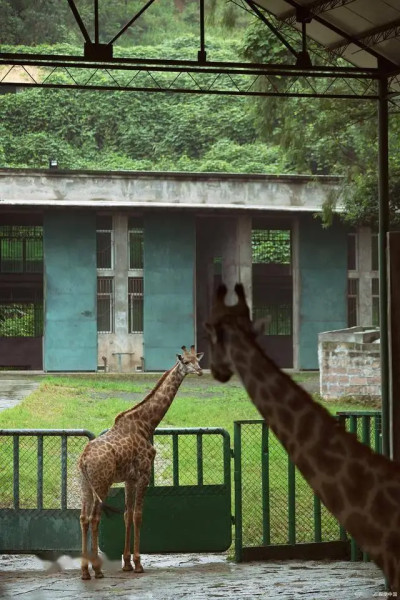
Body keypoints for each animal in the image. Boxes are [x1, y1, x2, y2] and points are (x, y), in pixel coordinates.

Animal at [77, 344, 203, 580]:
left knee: (83, 518)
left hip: (86, 485)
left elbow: (127, 515)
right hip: (102, 483)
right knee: (95, 518)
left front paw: (126, 563)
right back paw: (97, 570)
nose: (199, 371)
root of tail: (83, 459)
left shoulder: (130, 478)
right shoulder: (145, 474)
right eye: (185, 362)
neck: (147, 423)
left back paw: (84, 571)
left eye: (197, 360)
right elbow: (138, 515)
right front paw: (138, 563)